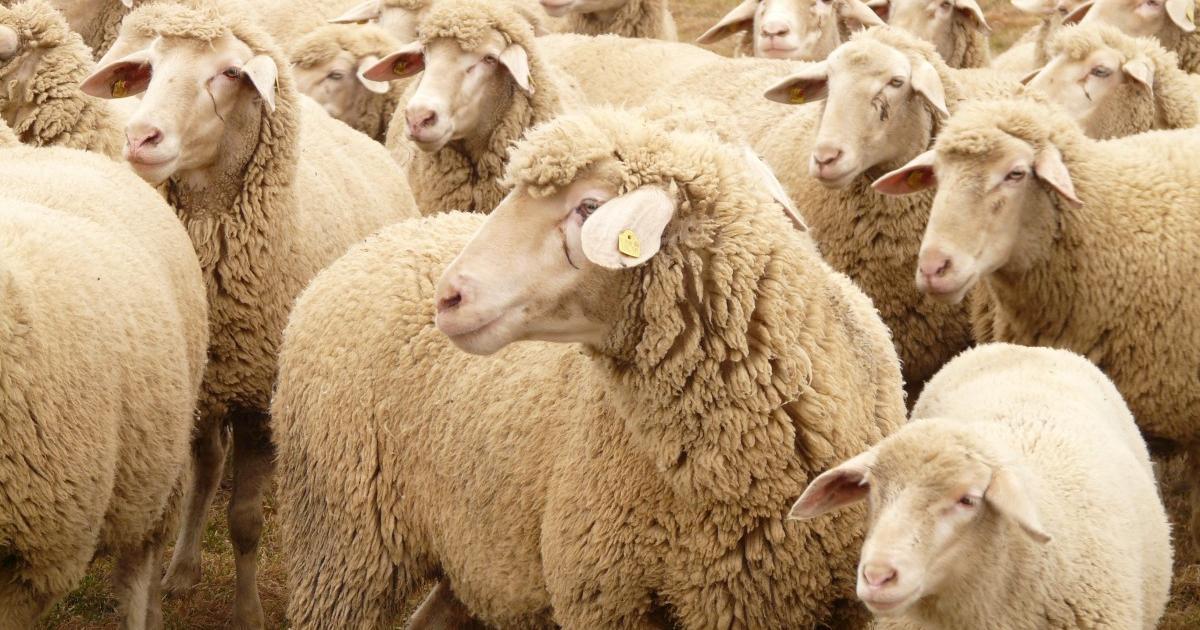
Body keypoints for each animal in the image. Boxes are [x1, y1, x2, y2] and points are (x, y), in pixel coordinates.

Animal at [79, 1, 420, 627]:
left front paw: (247, 611)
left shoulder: (261, 398)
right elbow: (190, 491)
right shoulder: (195, 390)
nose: (141, 137)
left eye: (231, 73)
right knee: (208, 468)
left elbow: (244, 521)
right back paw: (184, 567)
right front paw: (165, 582)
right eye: (149, 68)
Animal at [273, 106, 907, 628]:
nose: (448, 297)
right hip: (341, 546)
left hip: (473, 558)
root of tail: (375, 243)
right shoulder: (605, 597)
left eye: (589, 208)